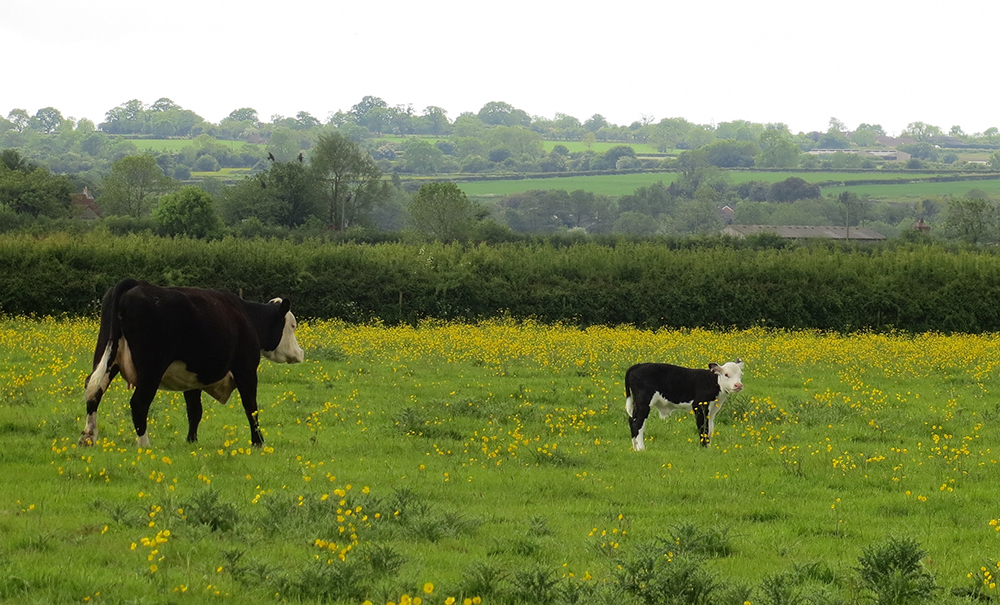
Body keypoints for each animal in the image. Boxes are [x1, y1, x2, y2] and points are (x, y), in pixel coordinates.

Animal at [79, 279, 304, 448]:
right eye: (293, 325)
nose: (300, 353)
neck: (245, 316)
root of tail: (134, 284)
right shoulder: (246, 370)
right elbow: (251, 407)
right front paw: (258, 442)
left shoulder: (190, 378)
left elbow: (195, 411)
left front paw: (191, 441)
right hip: (151, 369)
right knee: (138, 402)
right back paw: (144, 444)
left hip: (107, 356)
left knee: (94, 389)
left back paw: (88, 437)